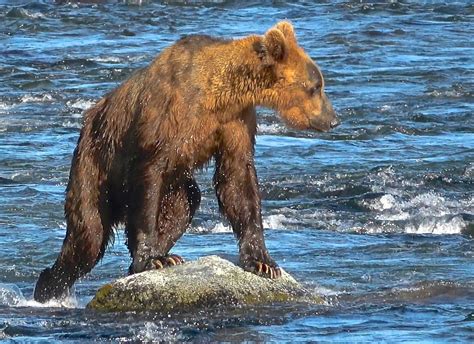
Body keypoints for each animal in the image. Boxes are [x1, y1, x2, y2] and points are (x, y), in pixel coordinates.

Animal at [33, 21, 338, 302]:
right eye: (316, 86)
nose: (333, 119)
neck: (219, 94)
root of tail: (88, 121)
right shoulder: (167, 118)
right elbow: (148, 179)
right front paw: (149, 258)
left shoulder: (234, 122)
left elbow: (238, 179)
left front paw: (263, 262)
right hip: (94, 163)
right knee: (88, 235)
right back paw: (48, 287)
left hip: (174, 183)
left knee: (185, 203)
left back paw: (166, 256)